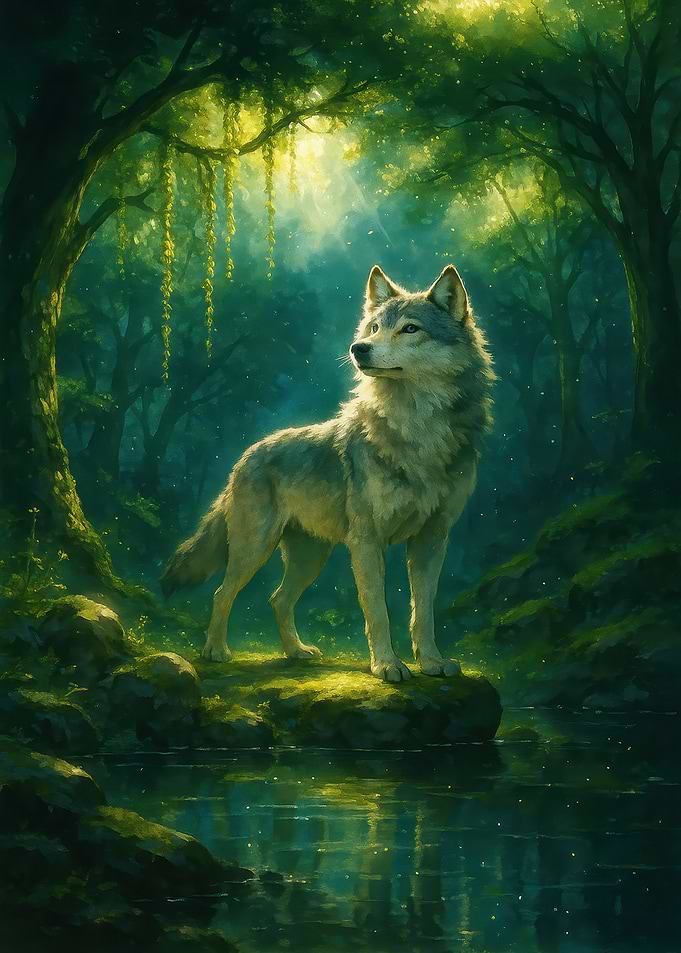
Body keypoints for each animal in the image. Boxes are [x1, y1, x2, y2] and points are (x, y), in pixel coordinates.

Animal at [161, 264, 494, 682]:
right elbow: (378, 610)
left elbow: (424, 612)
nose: (358, 348)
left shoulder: (432, 539)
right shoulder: (367, 541)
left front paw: (432, 662)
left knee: (277, 599)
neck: (417, 430)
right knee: (224, 593)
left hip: (310, 557)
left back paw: (295, 652)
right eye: (374, 327)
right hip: (256, 549)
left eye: (410, 329)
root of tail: (247, 455)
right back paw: (216, 651)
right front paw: (387, 666)